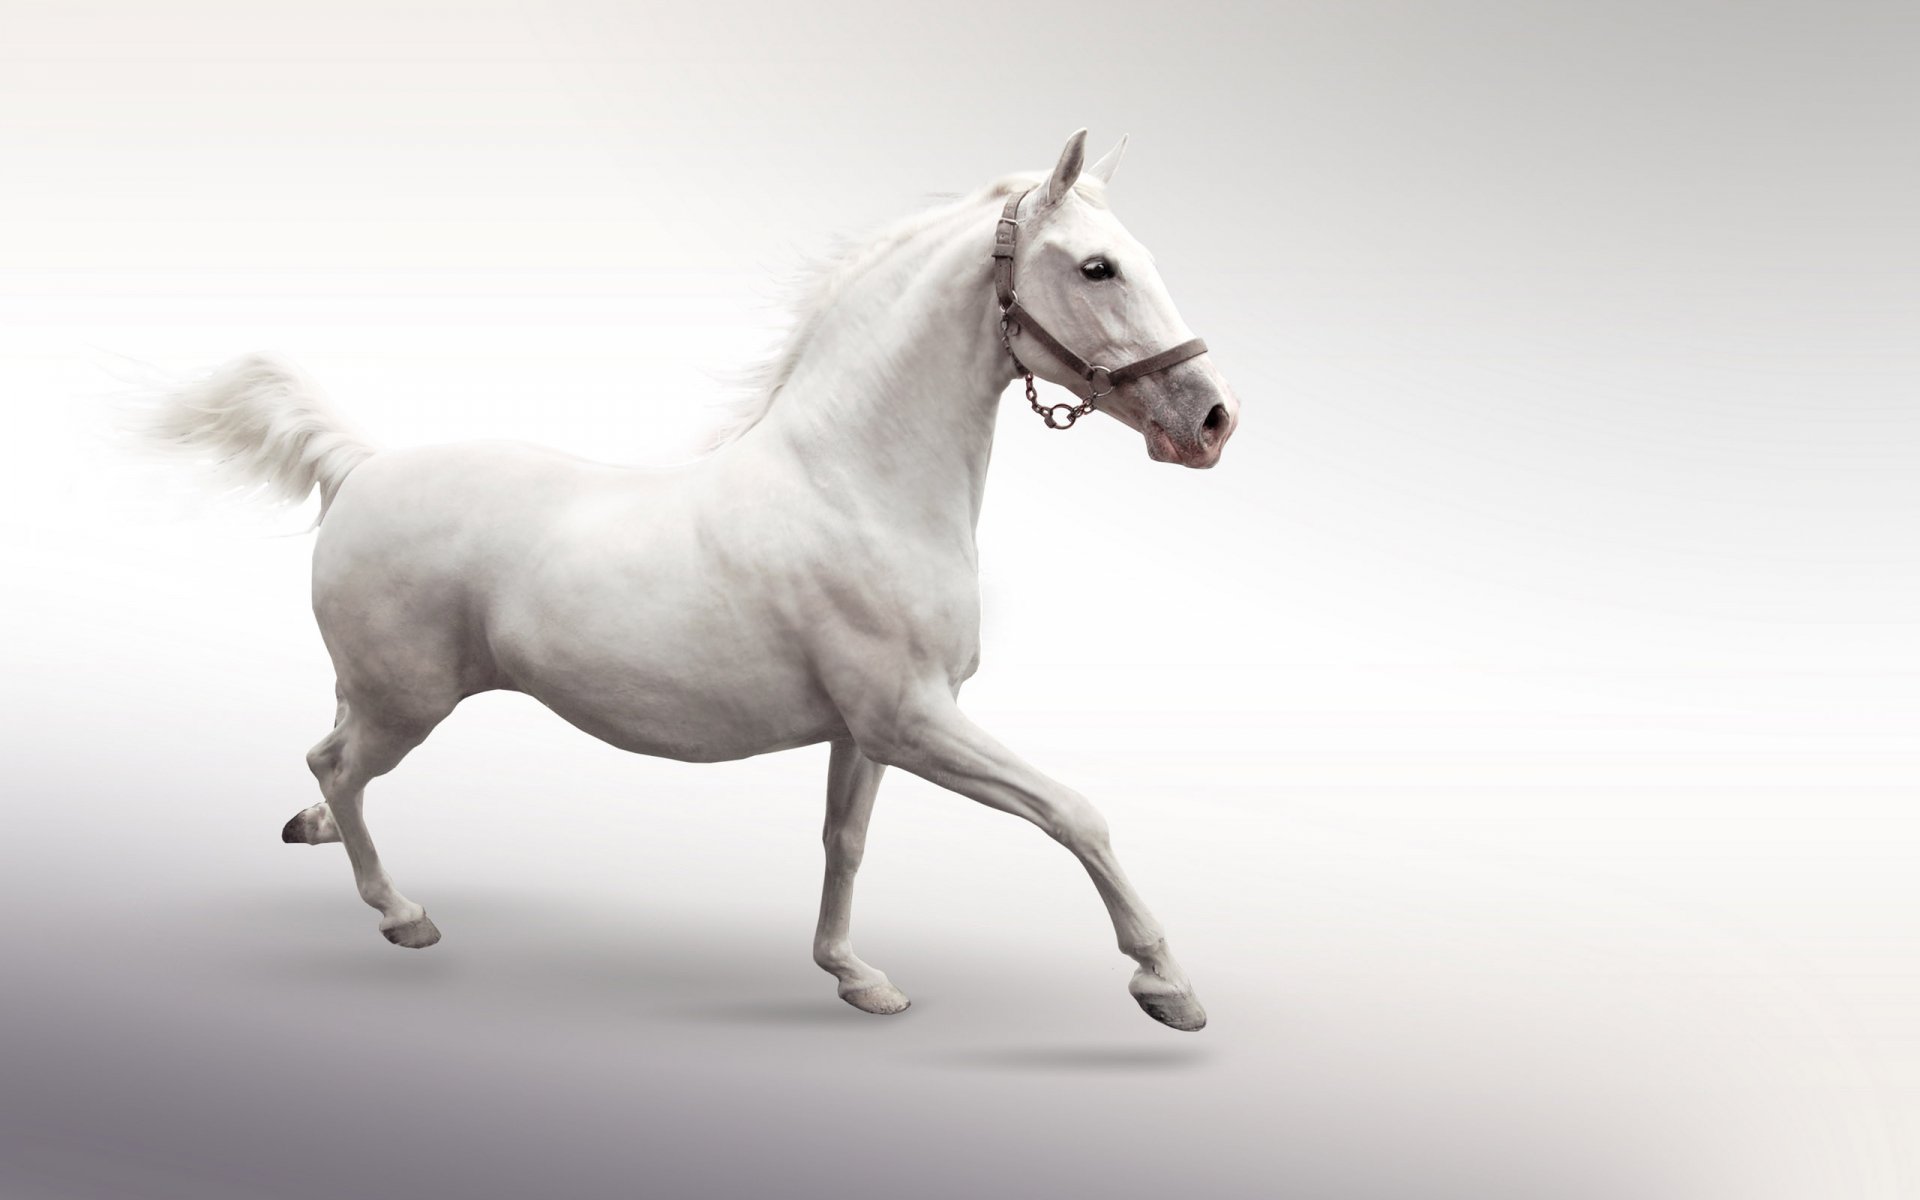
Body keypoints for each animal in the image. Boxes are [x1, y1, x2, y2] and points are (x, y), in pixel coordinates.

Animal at [136, 129, 1240, 1031]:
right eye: (1097, 266)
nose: (1211, 421)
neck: (857, 484)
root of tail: (358, 468)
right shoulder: (914, 722)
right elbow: (1074, 813)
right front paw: (1167, 985)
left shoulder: (866, 732)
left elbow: (843, 842)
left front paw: (854, 976)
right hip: (409, 703)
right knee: (337, 765)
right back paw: (402, 915)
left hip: (374, 690)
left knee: (334, 761)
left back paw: (317, 837)